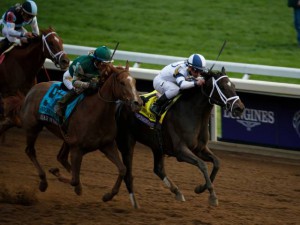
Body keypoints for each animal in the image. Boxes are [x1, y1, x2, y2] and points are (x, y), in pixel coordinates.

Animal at [20, 62, 143, 200]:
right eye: (122, 83)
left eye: (134, 81)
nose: (138, 103)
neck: (97, 113)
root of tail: (34, 88)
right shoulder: (77, 148)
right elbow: (74, 180)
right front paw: (59, 175)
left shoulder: (107, 145)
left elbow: (123, 169)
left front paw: (108, 195)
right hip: (33, 128)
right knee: (30, 151)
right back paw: (43, 182)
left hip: (66, 138)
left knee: (61, 157)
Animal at [113, 67, 245, 209]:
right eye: (223, 87)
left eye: (234, 86)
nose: (240, 108)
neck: (192, 113)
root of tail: (121, 102)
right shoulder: (180, 151)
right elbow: (202, 165)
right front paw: (212, 196)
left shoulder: (200, 149)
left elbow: (217, 163)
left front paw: (200, 188)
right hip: (127, 141)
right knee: (128, 170)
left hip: (157, 145)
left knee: (158, 169)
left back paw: (177, 192)